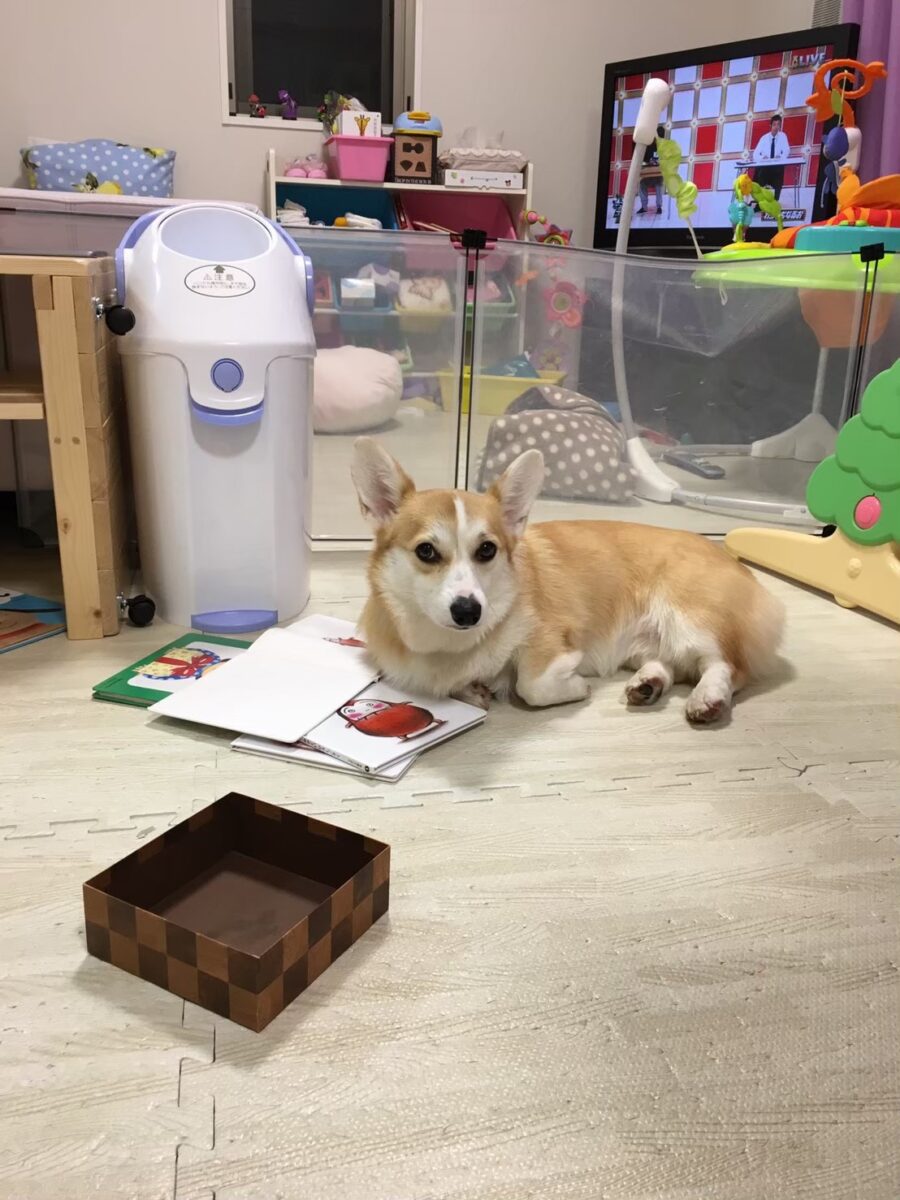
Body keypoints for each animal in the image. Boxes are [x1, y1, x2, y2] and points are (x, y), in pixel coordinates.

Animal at [351, 438, 785, 724]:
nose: (469, 611)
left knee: (726, 665)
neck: (450, 644)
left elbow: (530, 685)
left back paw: (708, 698)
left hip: (689, 618)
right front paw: (474, 689)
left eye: (487, 550)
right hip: (651, 641)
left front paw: (575, 686)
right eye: (426, 551)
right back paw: (648, 684)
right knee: (668, 663)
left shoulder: (546, 640)